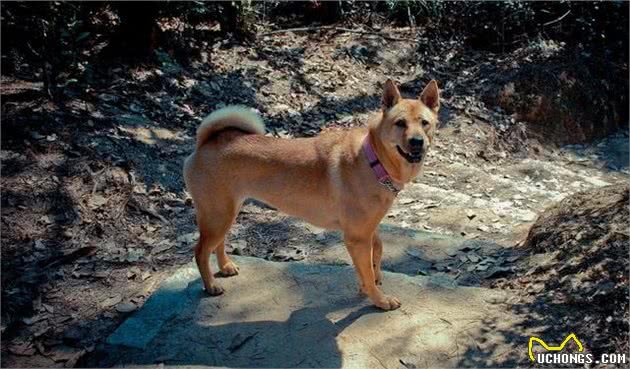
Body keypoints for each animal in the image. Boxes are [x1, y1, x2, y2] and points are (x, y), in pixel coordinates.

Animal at [183, 79, 440, 310]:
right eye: (400, 123)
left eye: (425, 123)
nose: (417, 142)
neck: (373, 159)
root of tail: (205, 142)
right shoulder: (357, 237)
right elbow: (367, 269)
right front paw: (379, 299)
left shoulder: (367, 229)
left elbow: (376, 252)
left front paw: (372, 281)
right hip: (217, 216)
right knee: (200, 251)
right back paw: (211, 285)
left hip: (226, 213)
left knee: (218, 243)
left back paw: (225, 267)